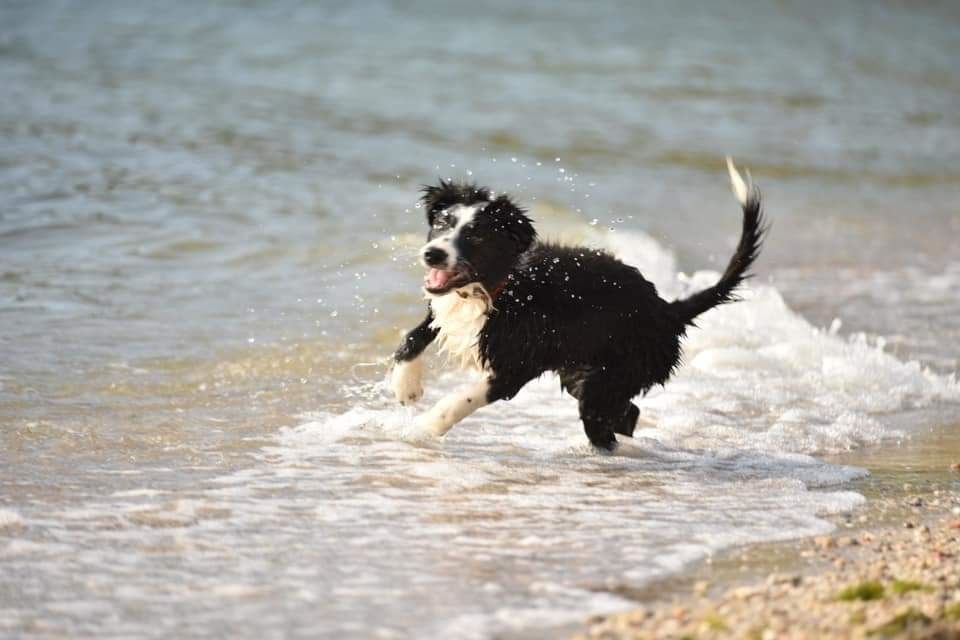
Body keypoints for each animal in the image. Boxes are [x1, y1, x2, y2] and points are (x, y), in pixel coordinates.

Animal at [390, 160, 764, 450]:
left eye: (477, 235)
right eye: (442, 224)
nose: (432, 254)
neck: (502, 287)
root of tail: (667, 311)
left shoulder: (515, 368)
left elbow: (460, 399)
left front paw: (423, 428)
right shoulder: (447, 311)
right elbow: (413, 336)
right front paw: (405, 384)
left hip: (609, 378)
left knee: (604, 425)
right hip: (584, 374)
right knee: (627, 415)